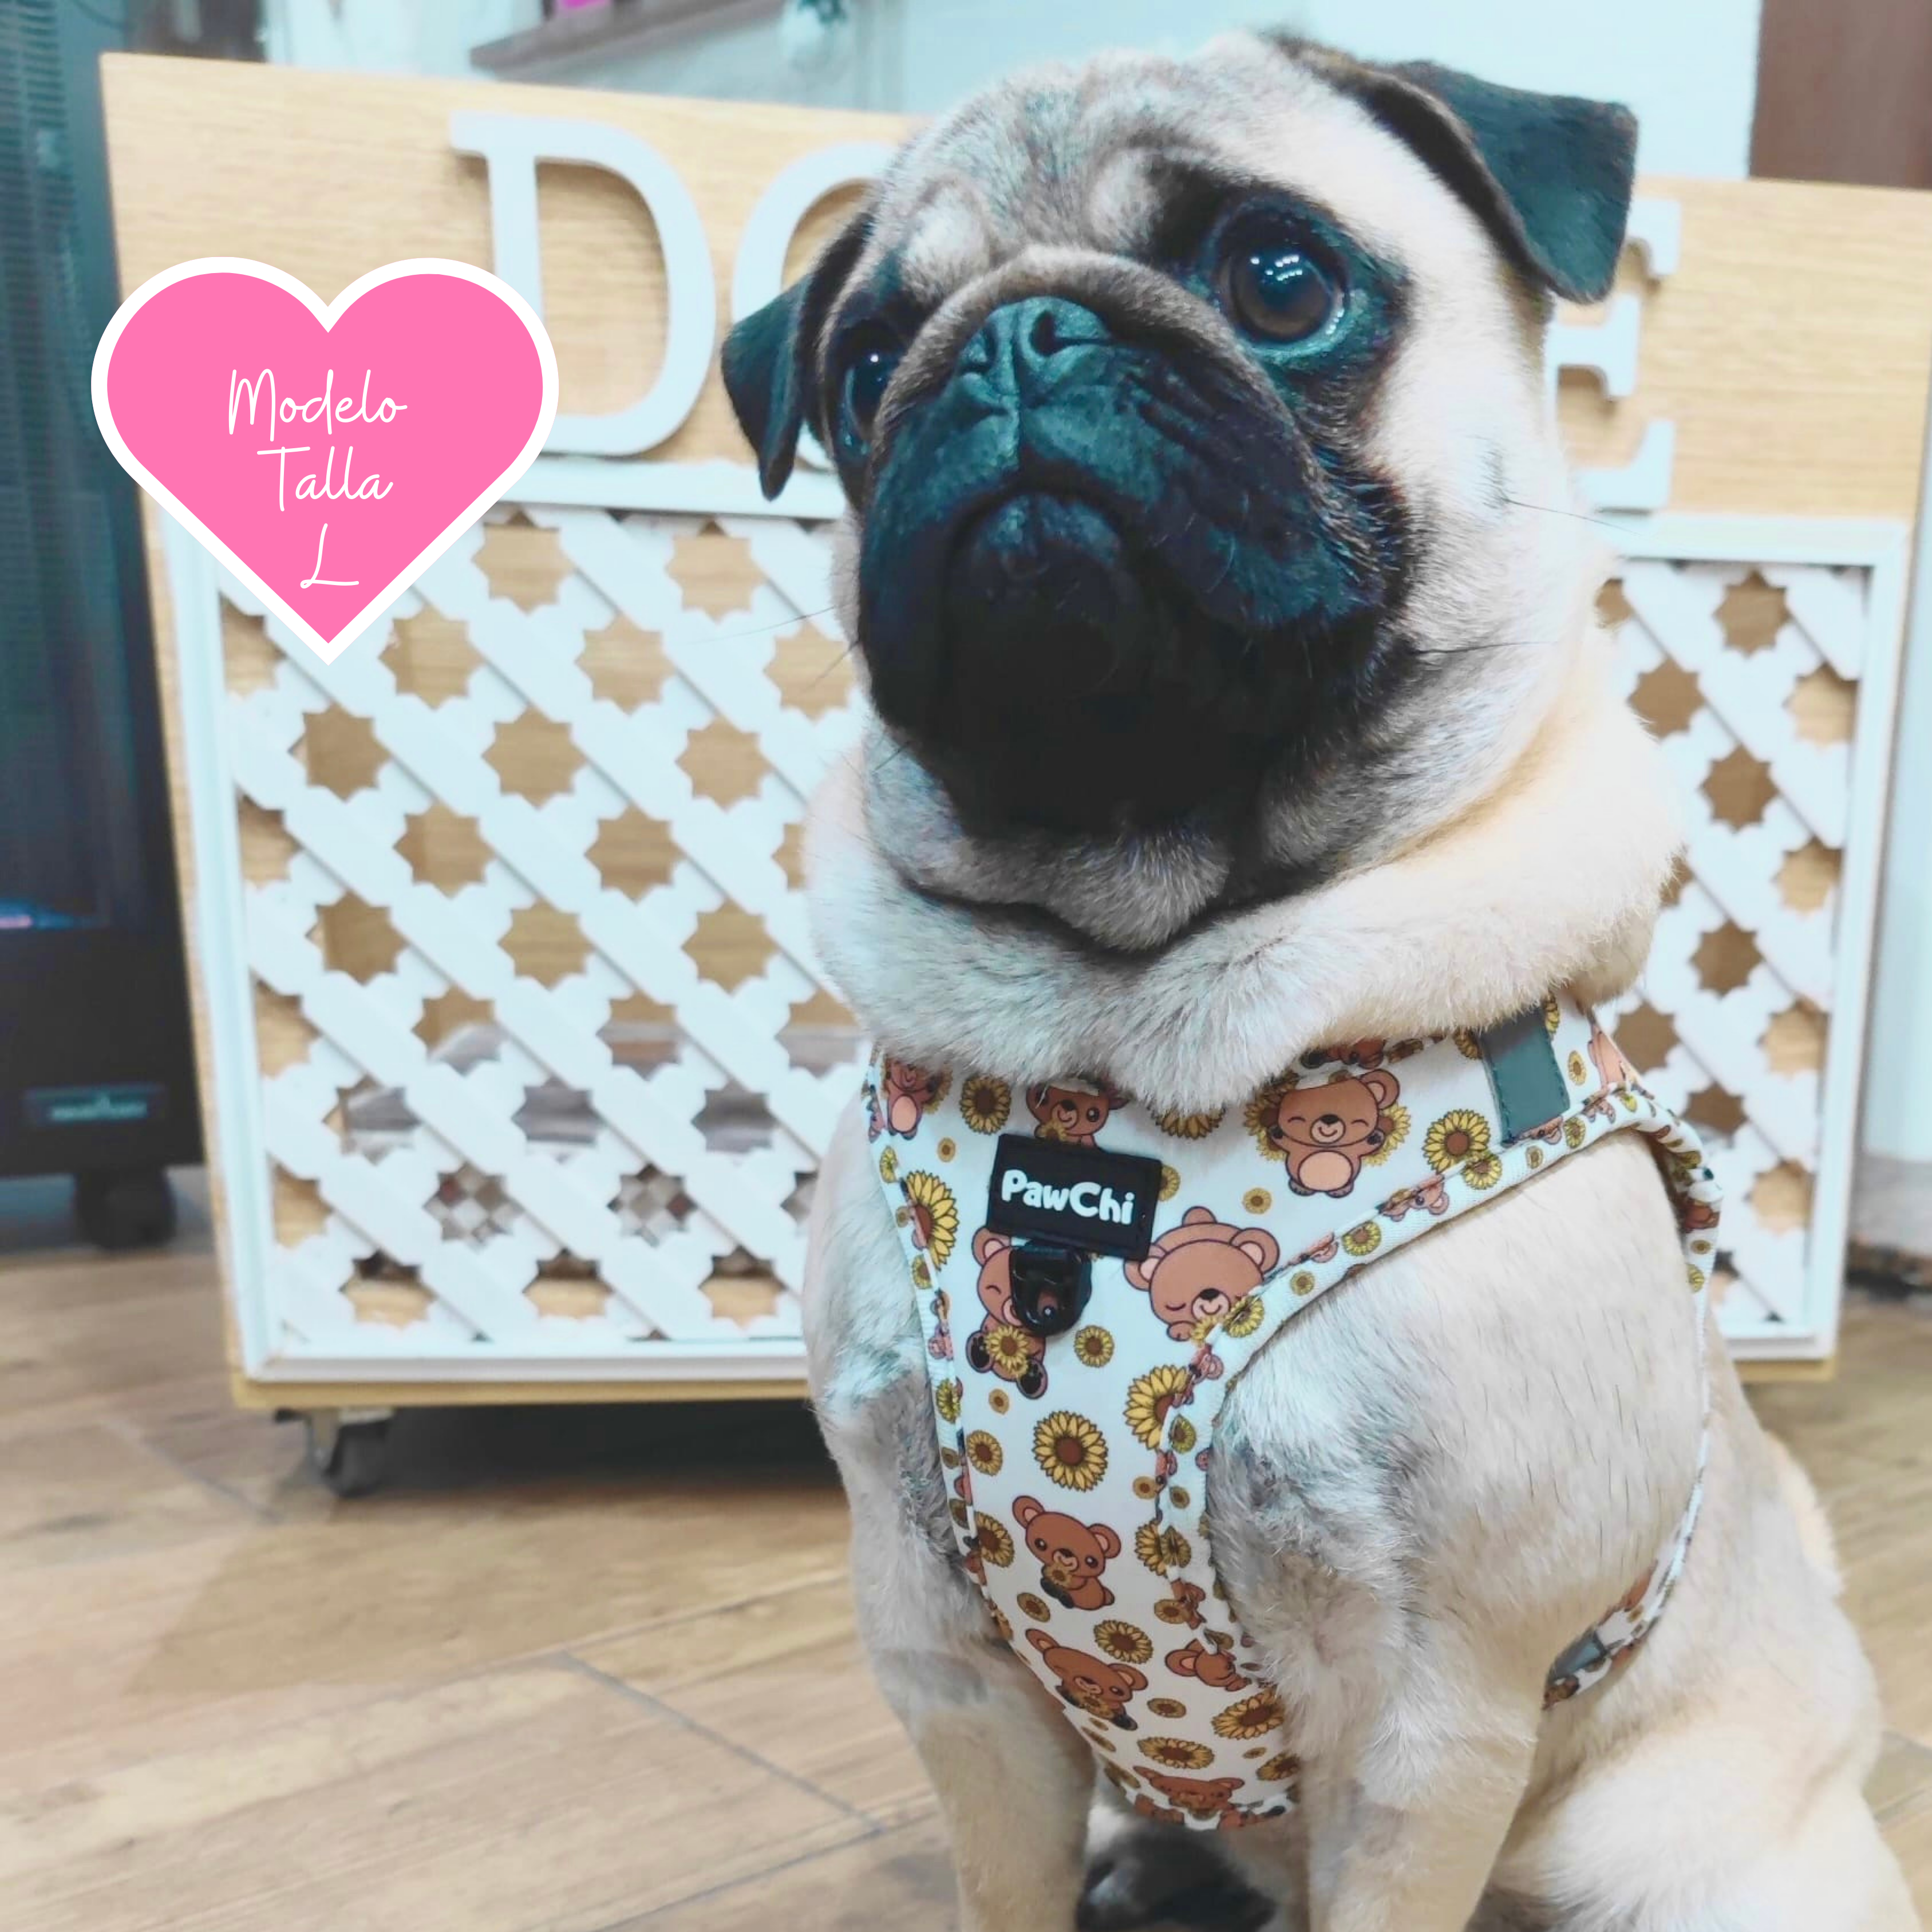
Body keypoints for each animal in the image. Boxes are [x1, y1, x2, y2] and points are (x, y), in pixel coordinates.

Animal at [1267, 1068, 1401, 1198]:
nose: (1329, 1118)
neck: (1326, 1146)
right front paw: (1277, 1132)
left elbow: (1365, 1145)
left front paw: (1375, 1137)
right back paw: (1300, 1188)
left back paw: (1340, 1191)